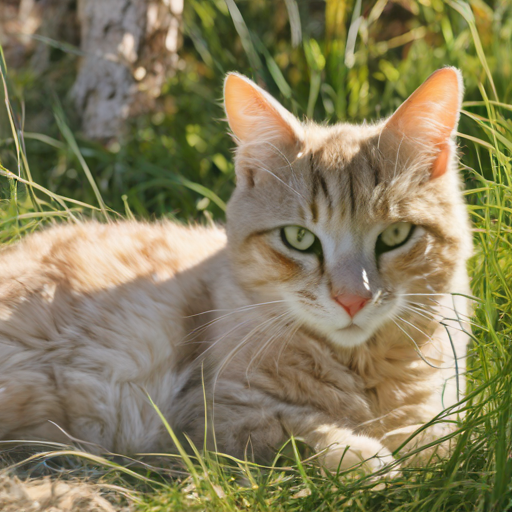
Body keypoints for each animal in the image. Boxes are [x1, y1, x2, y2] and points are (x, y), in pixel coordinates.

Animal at [0, 67, 472, 472]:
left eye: (395, 235)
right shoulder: (209, 415)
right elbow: (307, 433)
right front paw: (370, 461)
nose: (352, 299)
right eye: (299, 238)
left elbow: (444, 437)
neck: (361, 368)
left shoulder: (439, 404)